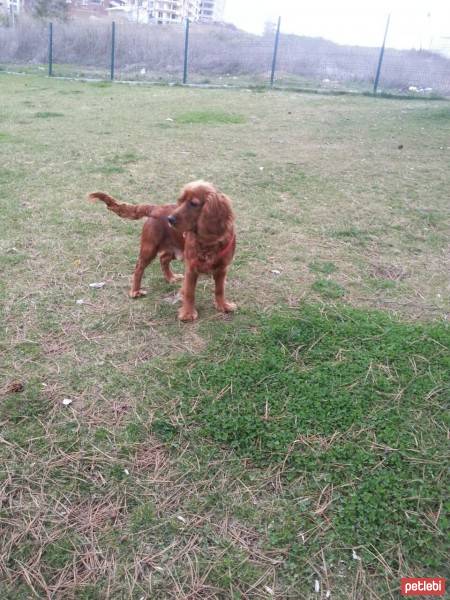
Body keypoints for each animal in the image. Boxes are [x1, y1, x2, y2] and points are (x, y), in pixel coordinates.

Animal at [87, 180, 236, 322]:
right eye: (180, 201)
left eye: (193, 203)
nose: (170, 219)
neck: (208, 243)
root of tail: (156, 208)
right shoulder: (191, 268)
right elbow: (189, 292)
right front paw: (188, 314)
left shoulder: (222, 269)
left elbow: (219, 289)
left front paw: (223, 305)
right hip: (149, 248)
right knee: (139, 268)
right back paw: (135, 291)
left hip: (173, 249)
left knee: (163, 259)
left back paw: (171, 277)